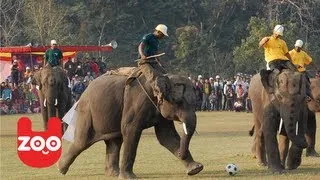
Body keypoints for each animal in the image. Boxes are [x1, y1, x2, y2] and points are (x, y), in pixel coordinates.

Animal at [57, 68, 202, 179]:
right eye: (177, 101)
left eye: (195, 102)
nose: (181, 154)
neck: (159, 76)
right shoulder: (135, 102)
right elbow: (131, 130)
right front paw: (129, 177)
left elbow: (166, 136)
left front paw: (195, 169)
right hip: (87, 112)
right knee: (81, 142)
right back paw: (60, 169)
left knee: (115, 141)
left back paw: (113, 174)